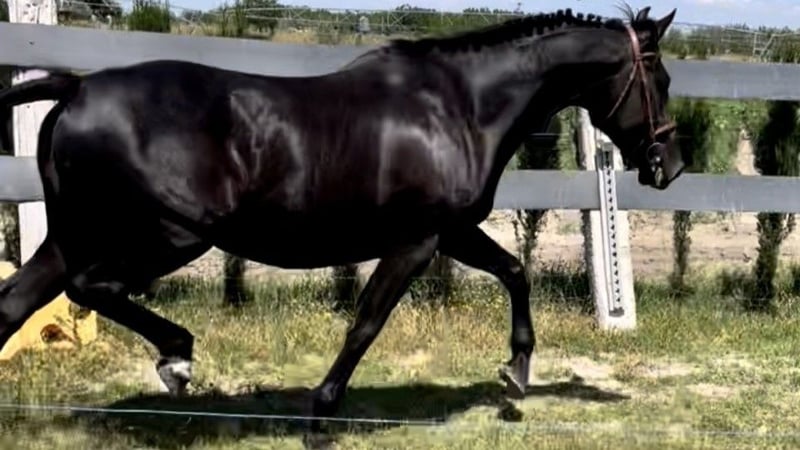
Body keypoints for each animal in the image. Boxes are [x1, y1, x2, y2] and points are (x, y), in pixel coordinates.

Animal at [0, 6, 682, 430]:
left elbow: (515, 270)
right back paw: (177, 358)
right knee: (91, 287)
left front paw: (515, 372)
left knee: (16, 303)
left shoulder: (451, 231)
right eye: (663, 79)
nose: (668, 164)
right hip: (170, 234)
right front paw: (322, 409)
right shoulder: (416, 241)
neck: (459, 105)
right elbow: (367, 322)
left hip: (73, 237)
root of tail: (77, 90)